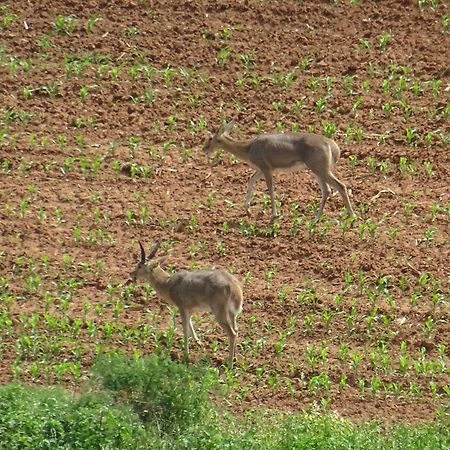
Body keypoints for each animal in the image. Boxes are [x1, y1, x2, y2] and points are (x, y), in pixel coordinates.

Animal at [203, 121, 356, 221]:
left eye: (211, 138)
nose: (204, 149)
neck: (248, 148)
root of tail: (333, 147)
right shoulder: (262, 169)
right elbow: (251, 180)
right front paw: (248, 209)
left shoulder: (266, 168)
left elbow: (270, 189)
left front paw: (274, 214)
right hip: (317, 169)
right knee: (327, 190)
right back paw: (316, 217)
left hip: (319, 168)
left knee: (340, 185)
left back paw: (351, 215)